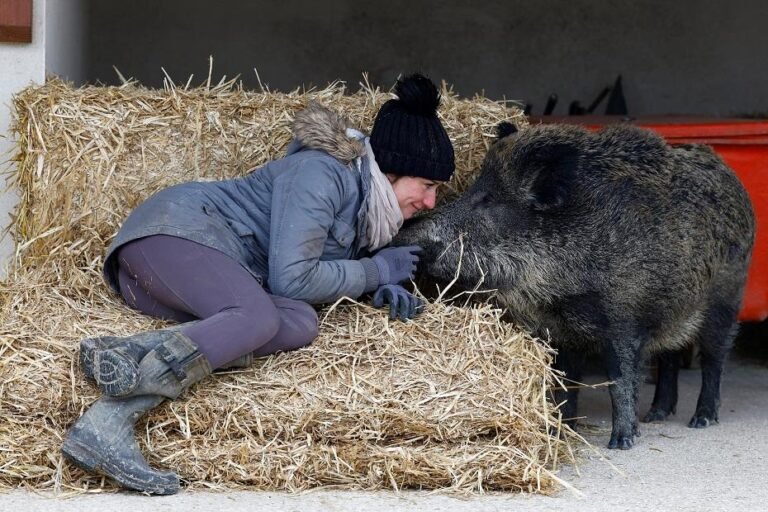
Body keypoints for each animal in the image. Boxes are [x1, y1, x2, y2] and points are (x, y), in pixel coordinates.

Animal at [394, 122, 755, 449]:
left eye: (488, 199)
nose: (404, 233)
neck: (558, 292)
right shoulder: (561, 332)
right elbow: (565, 384)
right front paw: (560, 431)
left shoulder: (624, 321)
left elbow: (619, 381)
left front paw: (621, 442)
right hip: (675, 309)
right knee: (670, 357)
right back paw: (657, 415)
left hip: (727, 298)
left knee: (713, 357)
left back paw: (701, 420)